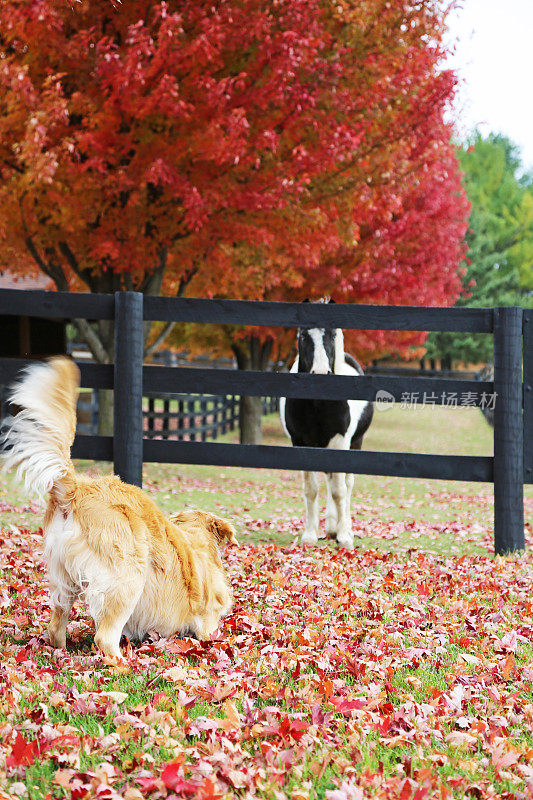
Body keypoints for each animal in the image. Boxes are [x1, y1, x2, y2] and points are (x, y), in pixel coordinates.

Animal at [2, 356, 235, 656]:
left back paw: (62, 651)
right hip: (128, 577)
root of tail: (77, 489)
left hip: (63, 579)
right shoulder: (207, 621)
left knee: (55, 626)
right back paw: (121, 662)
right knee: (104, 636)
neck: (198, 541)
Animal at [280, 300, 372, 552]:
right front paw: (310, 535)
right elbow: (312, 490)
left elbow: (340, 491)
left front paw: (345, 537)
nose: (320, 373)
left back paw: (342, 527)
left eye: (332, 335)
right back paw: (331, 527)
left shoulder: (340, 442)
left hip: (354, 443)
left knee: (346, 485)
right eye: (303, 335)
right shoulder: (301, 443)